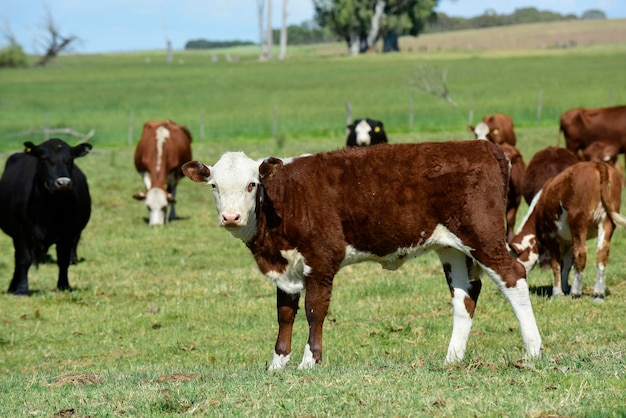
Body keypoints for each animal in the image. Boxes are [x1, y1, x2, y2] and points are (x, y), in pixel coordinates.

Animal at [0, 140, 92, 294]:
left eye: (70, 160)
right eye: (44, 159)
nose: (63, 183)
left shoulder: (69, 231)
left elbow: (63, 259)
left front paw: (64, 286)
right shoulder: (19, 230)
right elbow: (24, 259)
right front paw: (21, 289)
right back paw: (12, 286)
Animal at [182, 141, 540, 370]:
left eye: (252, 184)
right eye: (214, 186)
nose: (230, 217)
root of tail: (484, 146)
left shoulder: (322, 258)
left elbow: (314, 311)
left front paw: (309, 363)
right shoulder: (285, 269)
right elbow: (285, 314)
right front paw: (277, 364)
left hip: (483, 235)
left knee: (513, 277)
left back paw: (534, 351)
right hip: (450, 246)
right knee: (465, 296)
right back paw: (451, 359)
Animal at [508, 160, 624, 300]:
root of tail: (597, 164)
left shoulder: (551, 236)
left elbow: (556, 264)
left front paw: (558, 292)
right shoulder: (568, 240)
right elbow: (567, 265)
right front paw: (565, 287)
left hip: (578, 221)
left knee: (581, 254)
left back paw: (576, 292)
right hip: (607, 221)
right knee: (602, 253)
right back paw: (598, 294)